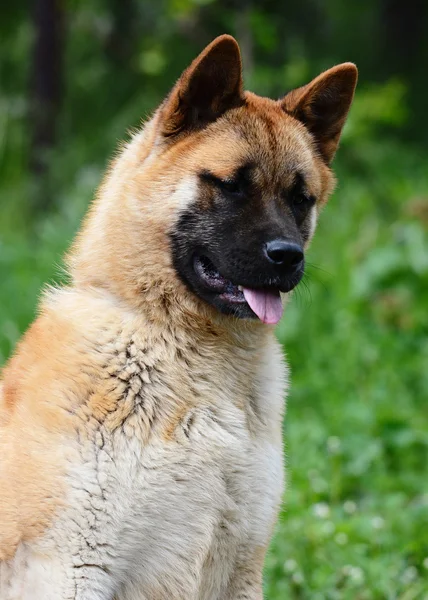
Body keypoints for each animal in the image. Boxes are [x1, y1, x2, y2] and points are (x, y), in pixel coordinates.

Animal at [0, 36, 358, 600]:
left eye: (300, 199)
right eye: (231, 186)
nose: (288, 257)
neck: (184, 346)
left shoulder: (240, 565)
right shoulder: (72, 567)